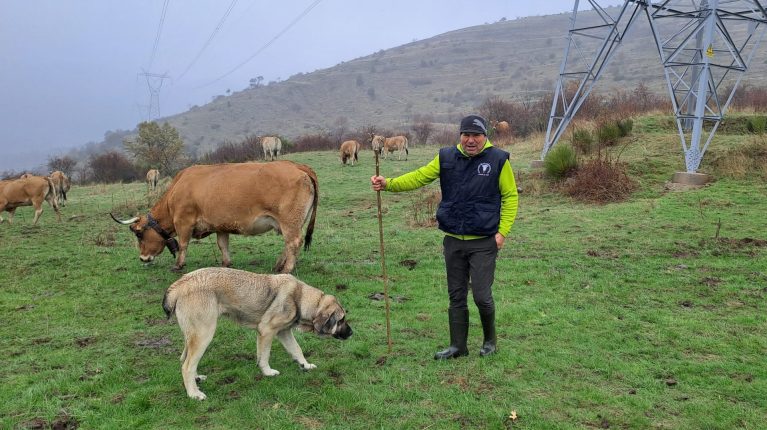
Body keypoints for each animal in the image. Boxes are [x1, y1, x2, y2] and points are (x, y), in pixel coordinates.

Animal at [111, 161, 318, 274]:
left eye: (139, 234)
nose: (142, 258)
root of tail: (296, 166)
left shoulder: (183, 222)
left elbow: (183, 244)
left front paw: (178, 265)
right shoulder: (220, 226)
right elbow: (222, 245)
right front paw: (226, 263)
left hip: (289, 221)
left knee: (293, 242)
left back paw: (287, 269)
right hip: (289, 223)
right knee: (289, 243)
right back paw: (278, 265)